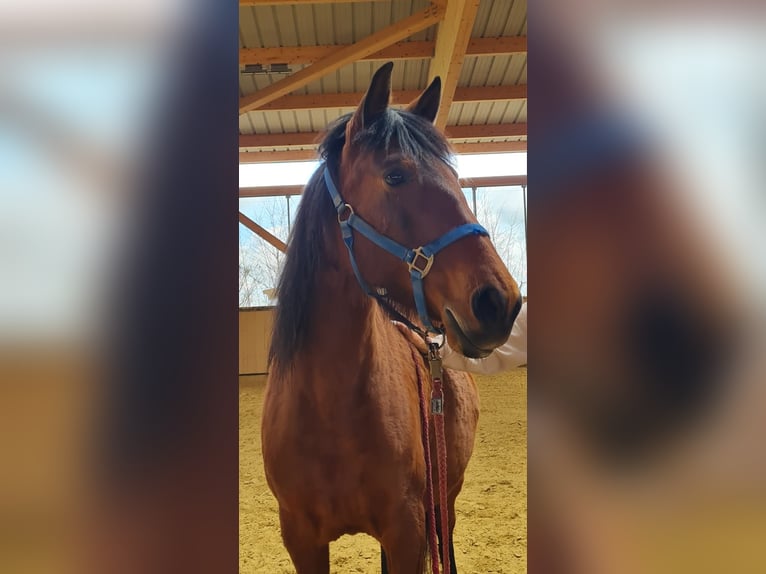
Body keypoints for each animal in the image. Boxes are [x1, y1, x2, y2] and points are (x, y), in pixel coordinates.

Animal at [261, 61, 522, 574]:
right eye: (395, 175)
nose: (499, 301)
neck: (328, 408)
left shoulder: (408, 529)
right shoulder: (301, 540)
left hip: (445, 499)